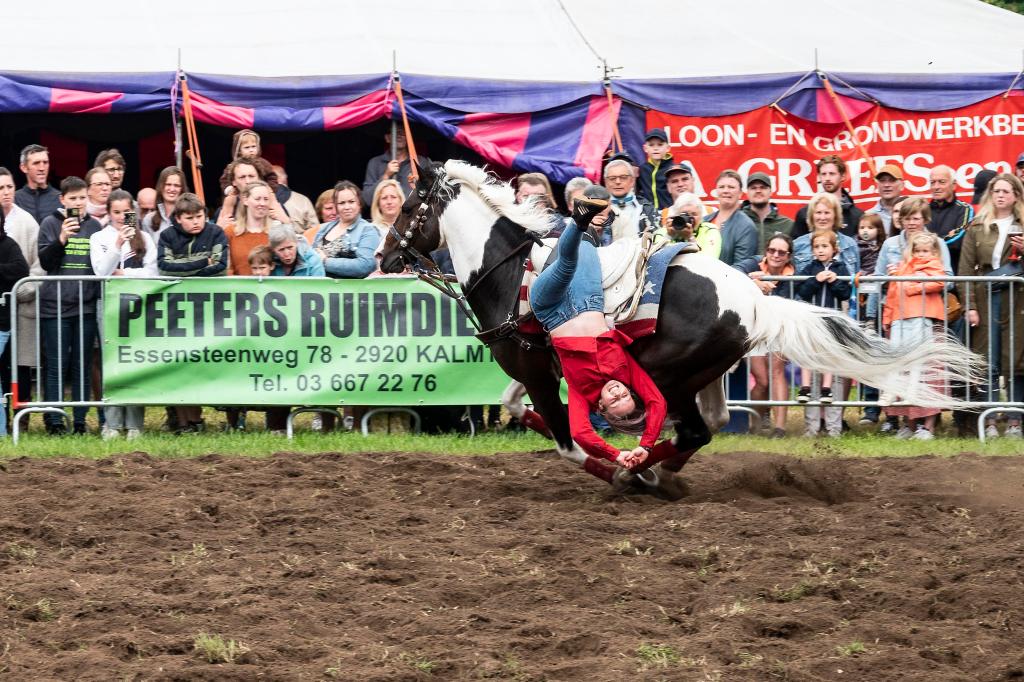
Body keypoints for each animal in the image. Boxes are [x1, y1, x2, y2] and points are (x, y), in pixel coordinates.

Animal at [378, 160, 980, 493]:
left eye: (406, 208)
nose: (384, 255)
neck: (512, 272)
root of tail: (757, 301)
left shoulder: (539, 371)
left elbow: (570, 442)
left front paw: (617, 469)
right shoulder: (534, 369)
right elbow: (515, 407)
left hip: (671, 375)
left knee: (694, 430)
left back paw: (641, 473)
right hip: (705, 376)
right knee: (709, 425)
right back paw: (656, 472)